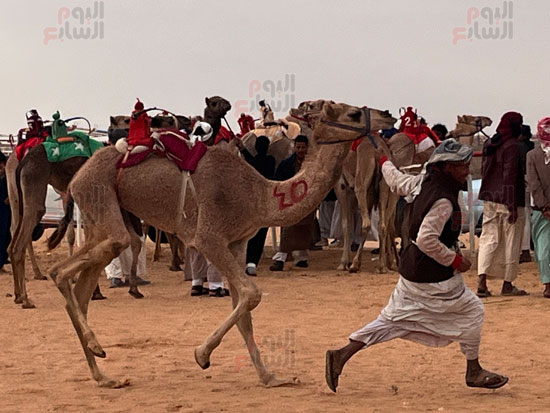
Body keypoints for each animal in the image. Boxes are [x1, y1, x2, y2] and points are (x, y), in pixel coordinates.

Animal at [44, 100, 396, 386]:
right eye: (353, 113)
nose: (388, 113)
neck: (260, 196)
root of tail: (78, 175)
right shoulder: (209, 237)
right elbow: (252, 295)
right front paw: (202, 355)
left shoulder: (238, 243)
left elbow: (244, 311)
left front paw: (271, 377)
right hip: (99, 193)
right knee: (72, 266)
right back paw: (96, 346)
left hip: (97, 215)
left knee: (83, 284)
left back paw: (103, 375)